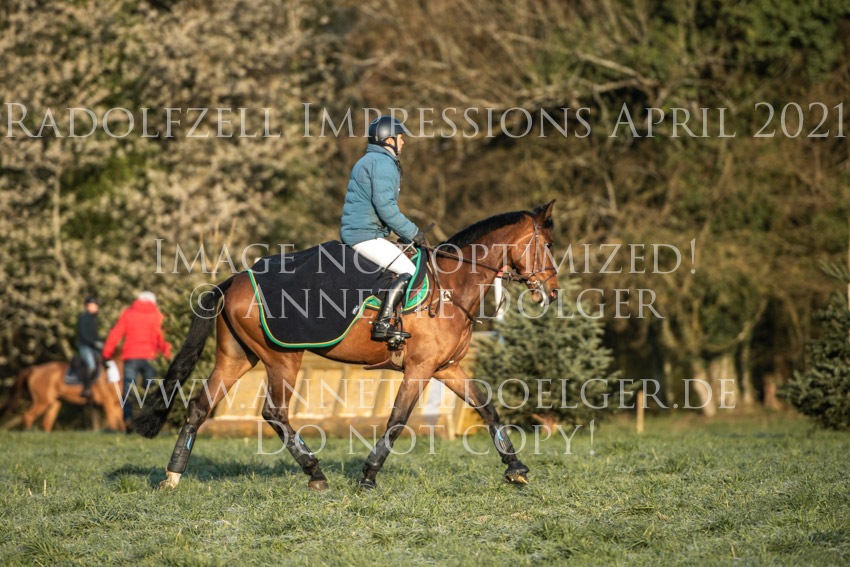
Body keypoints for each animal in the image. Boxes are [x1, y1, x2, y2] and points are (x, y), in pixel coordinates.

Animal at [135, 202, 560, 490]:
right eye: (549, 245)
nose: (553, 292)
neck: (452, 287)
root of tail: (236, 278)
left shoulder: (446, 368)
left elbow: (486, 406)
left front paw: (515, 467)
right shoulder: (420, 369)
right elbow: (397, 420)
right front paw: (369, 475)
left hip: (238, 357)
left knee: (200, 406)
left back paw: (173, 475)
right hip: (282, 359)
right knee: (274, 413)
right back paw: (315, 472)